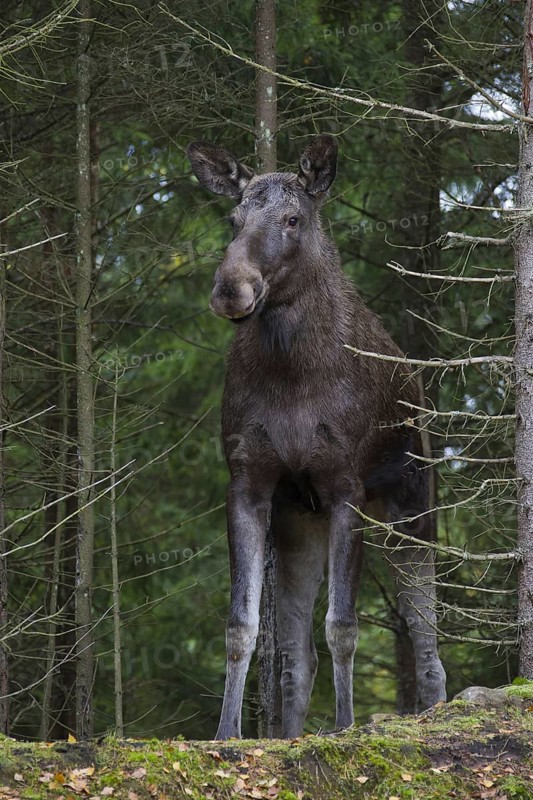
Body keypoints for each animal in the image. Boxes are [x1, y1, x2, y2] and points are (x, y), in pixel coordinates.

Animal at [186, 134, 447, 740]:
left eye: (293, 218)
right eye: (232, 218)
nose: (231, 288)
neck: (292, 377)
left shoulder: (344, 485)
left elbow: (344, 627)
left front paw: (347, 726)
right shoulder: (250, 483)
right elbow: (241, 626)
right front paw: (226, 734)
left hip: (412, 504)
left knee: (427, 636)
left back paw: (431, 709)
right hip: (300, 522)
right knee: (296, 656)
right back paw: (287, 733)